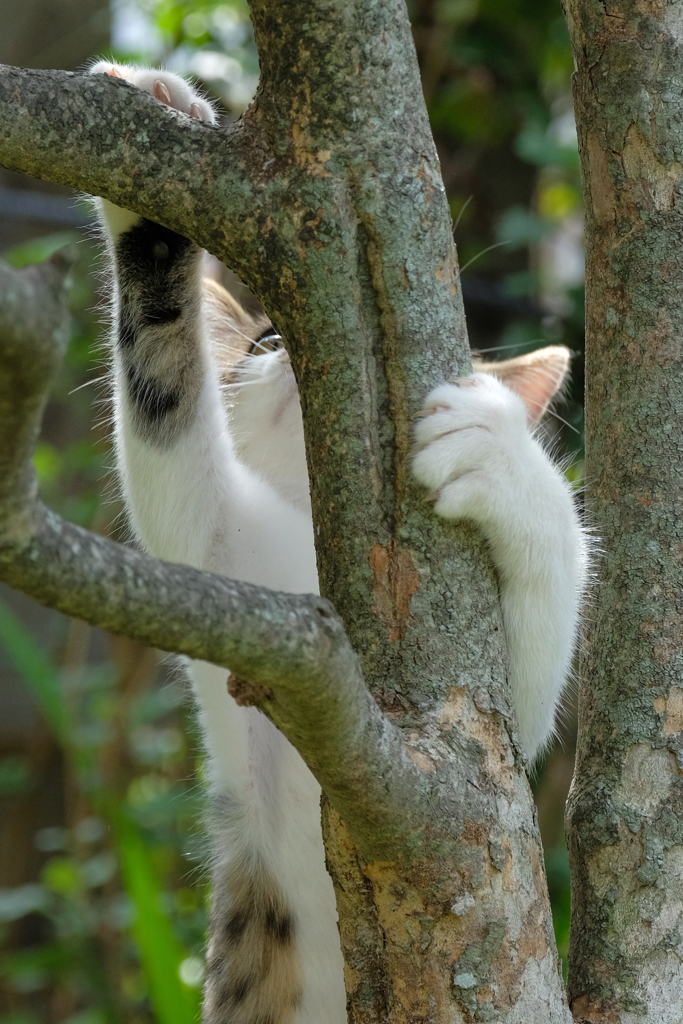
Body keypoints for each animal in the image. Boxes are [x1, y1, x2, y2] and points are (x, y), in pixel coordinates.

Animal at [87, 61, 589, 1024]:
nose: (284, 345)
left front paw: (496, 448)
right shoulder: (220, 561)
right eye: (261, 337)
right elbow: (174, 449)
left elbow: (526, 681)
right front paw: (147, 202)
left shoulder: (488, 733)